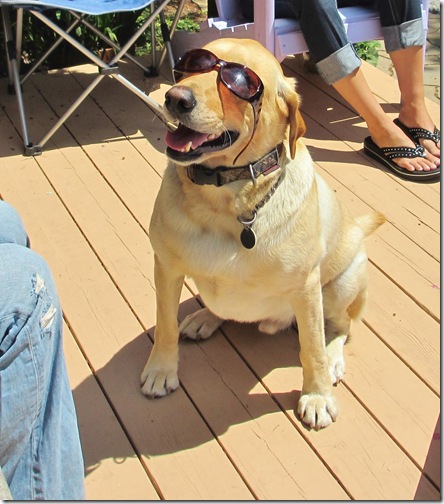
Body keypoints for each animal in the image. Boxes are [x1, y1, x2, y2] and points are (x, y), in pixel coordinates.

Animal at [141, 38, 385, 429]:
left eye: (239, 82)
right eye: (192, 64)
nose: (175, 98)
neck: (225, 199)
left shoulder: (306, 289)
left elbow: (312, 349)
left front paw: (317, 395)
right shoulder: (165, 267)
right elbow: (164, 324)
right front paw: (161, 370)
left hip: (341, 284)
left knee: (342, 326)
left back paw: (334, 357)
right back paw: (205, 318)